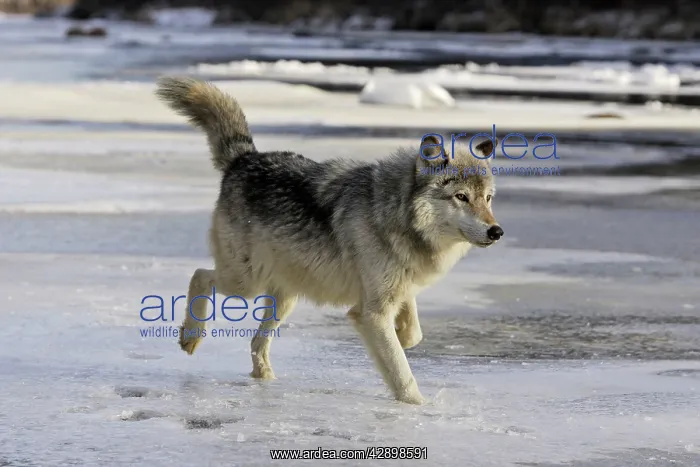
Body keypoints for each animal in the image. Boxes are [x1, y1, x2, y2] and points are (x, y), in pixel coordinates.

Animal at [155, 77, 503, 405]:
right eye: (461, 197)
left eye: (487, 199)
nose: (496, 231)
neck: (395, 214)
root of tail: (245, 157)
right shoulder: (372, 311)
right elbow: (402, 374)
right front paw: (418, 406)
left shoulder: (396, 290)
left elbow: (413, 333)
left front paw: (402, 336)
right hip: (246, 282)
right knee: (200, 275)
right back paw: (191, 336)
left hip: (284, 296)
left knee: (256, 341)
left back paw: (265, 379)